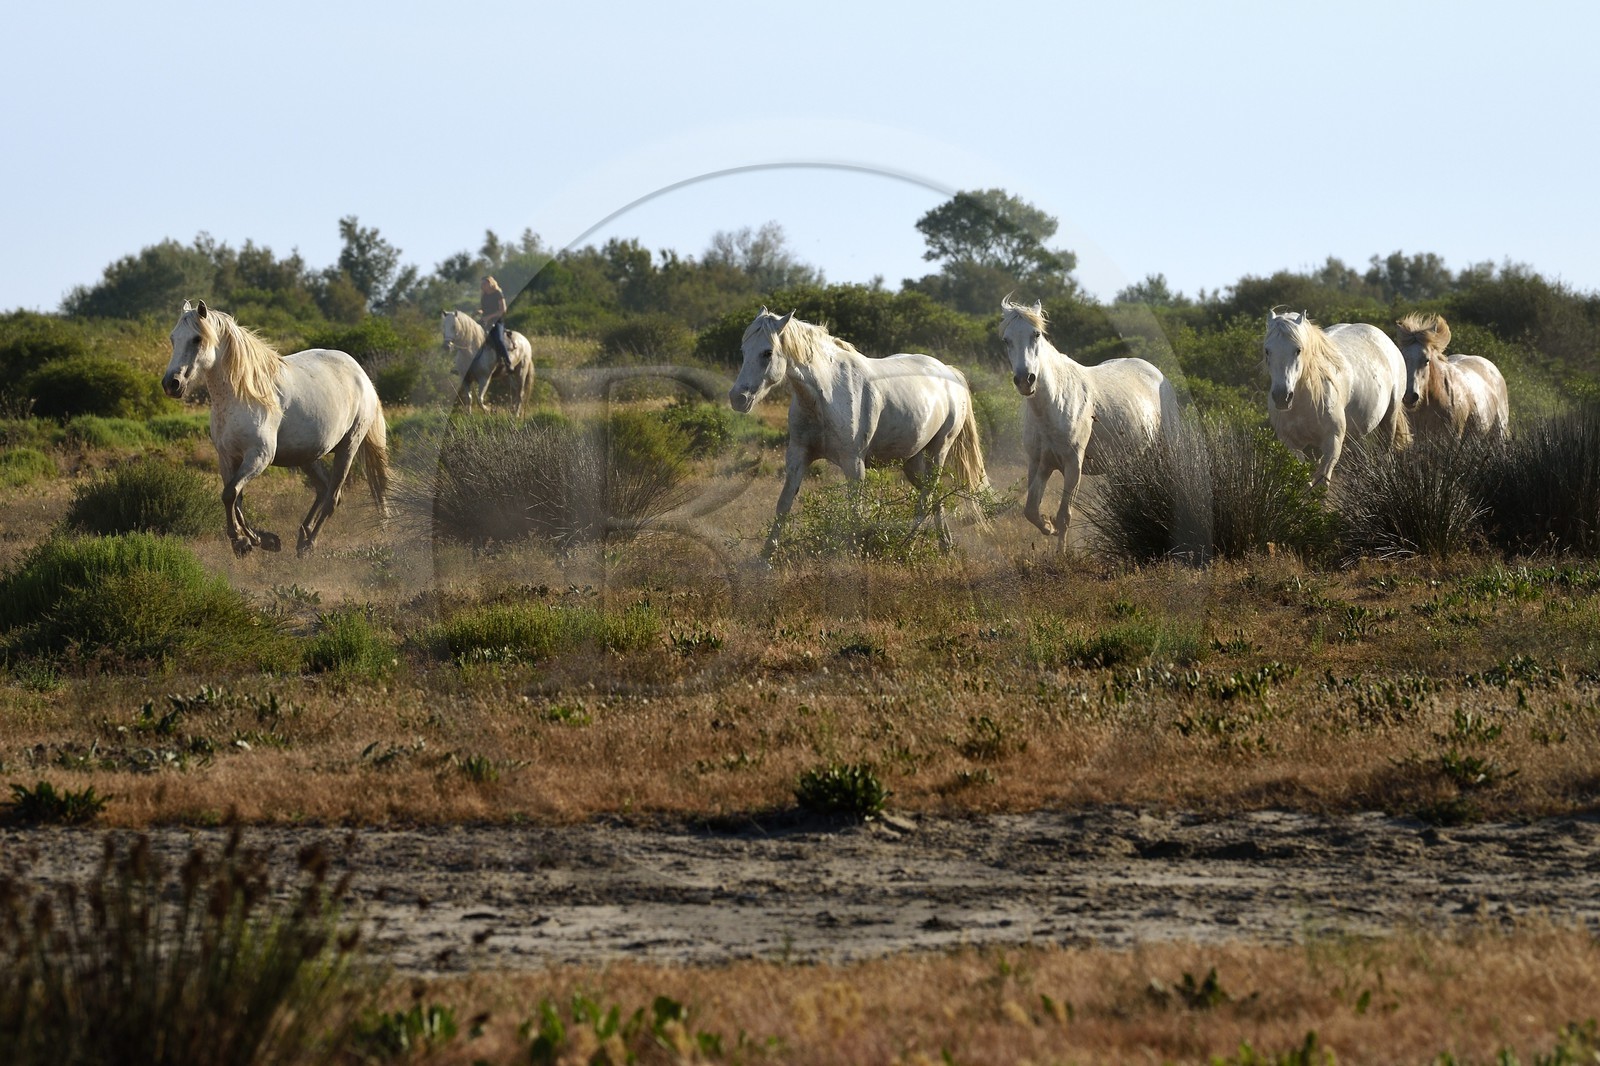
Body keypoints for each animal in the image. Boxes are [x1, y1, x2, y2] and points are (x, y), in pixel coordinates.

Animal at [162, 300, 389, 557]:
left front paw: (246, 540)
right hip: (308, 456)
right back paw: (302, 536)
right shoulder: (227, 457)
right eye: (173, 338)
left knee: (333, 497)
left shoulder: (259, 456)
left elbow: (230, 494)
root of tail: (361, 374)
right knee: (323, 489)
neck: (242, 394)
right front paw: (256, 539)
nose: (171, 384)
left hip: (348, 448)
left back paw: (309, 544)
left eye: (197, 339)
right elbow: (234, 497)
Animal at [728, 307, 989, 555]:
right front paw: (766, 556)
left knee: (926, 497)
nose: (738, 398)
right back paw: (945, 545)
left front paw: (855, 553)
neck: (826, 395)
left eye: (767, 353)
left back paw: (909, 544)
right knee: (934, 495)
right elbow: (784, 503)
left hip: (938, 450)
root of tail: (949, 372)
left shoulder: (853, 463)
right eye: (743, 350)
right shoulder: (798, 455)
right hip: (912, 460)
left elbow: (855, 510)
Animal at [999, 296, 1180, 550]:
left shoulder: (1073, 464)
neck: (1054, 404)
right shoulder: (1039, 463)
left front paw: (1061, 553)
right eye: (1006, 340)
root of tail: (1157, 374)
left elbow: (1065, 515)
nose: (1025, 380)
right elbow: (1031, 510)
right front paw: (1048, 526)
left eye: (1036, 334)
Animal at [1262, 309, 1411, 487]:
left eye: (1298, 350)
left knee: (1386, 451)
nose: (1282, 397)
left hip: (1389, 419)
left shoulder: (1332, 442)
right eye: (1267, 350)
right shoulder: (1290, 444)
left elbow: (1320, 484)